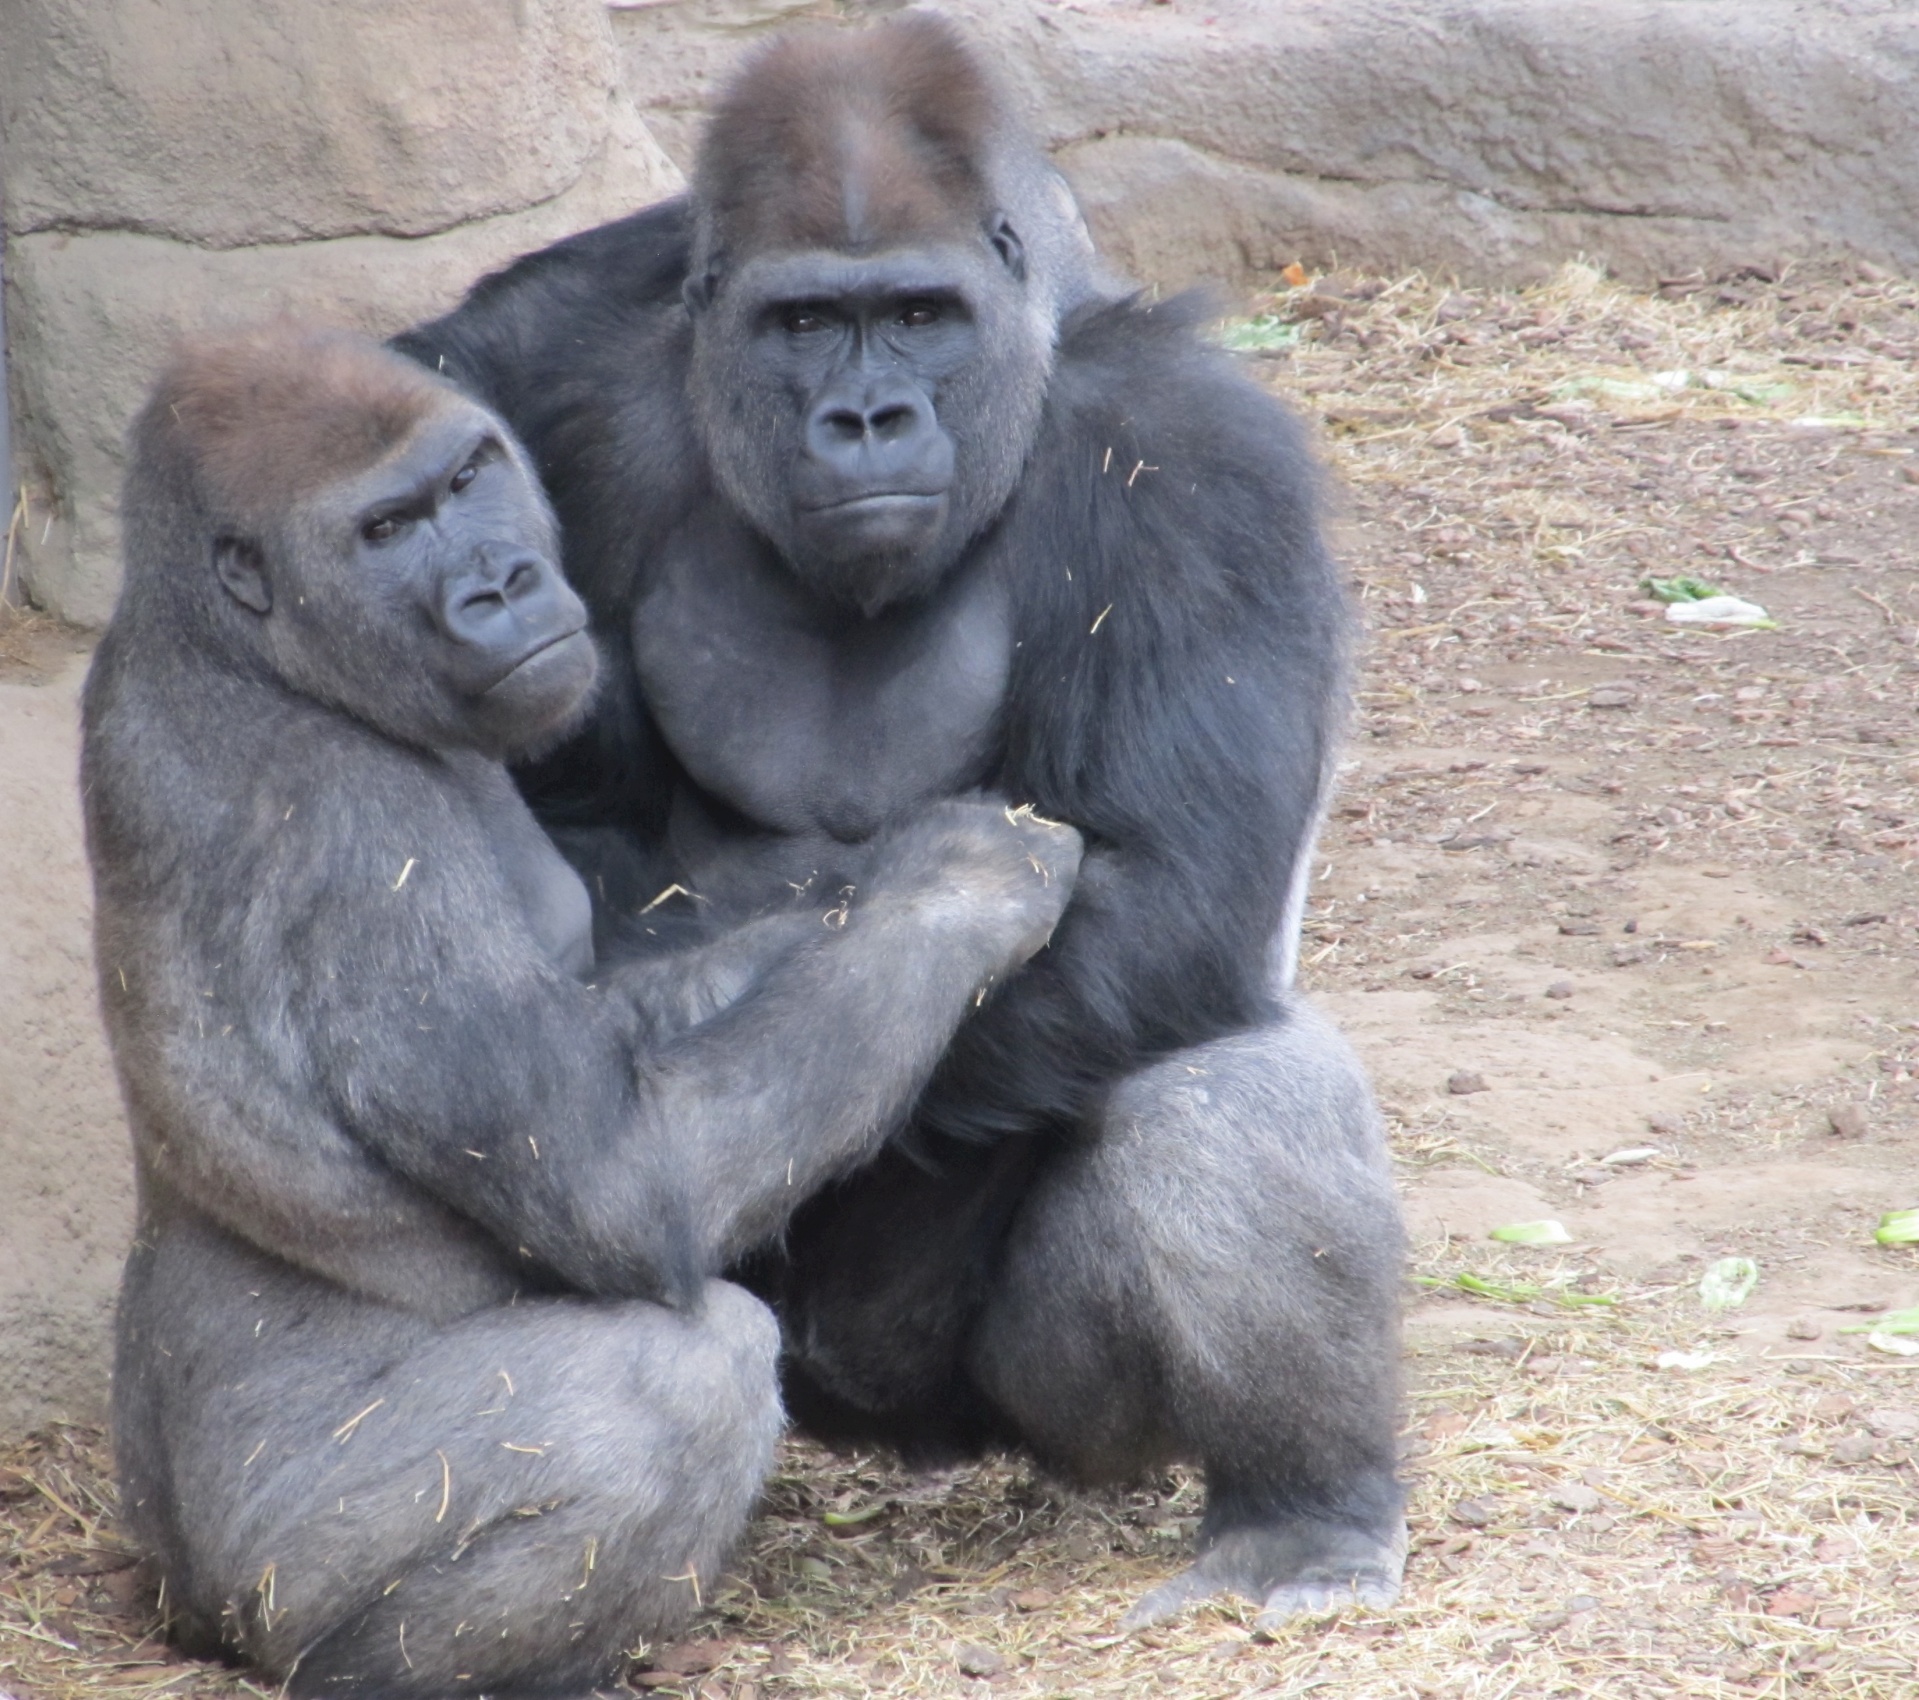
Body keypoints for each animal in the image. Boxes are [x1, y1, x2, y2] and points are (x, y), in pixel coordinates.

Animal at [82, 326, 1082, 1696]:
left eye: (466, 479)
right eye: (384, 529)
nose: (497, 584)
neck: (231, 645)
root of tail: (181, 1593)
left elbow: (636, 1025)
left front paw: (856, 898)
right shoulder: (353, 830)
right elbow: (616, 1174)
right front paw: (958, 887)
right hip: (271, 1570)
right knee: (683, 1376)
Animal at [393, 16, 1412, 1634]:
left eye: (919, 314)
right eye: (807, 322)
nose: (864, 417)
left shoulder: (1197, 464)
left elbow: (1175, 889)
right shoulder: (548, 364)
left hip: (1035, 1409)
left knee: (1217, 1067)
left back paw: (1302, 1514)